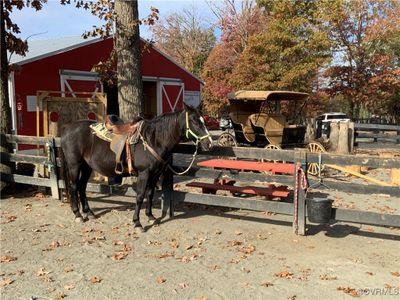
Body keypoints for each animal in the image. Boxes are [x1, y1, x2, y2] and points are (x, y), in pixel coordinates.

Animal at [60, 104, 212, 231]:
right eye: (194, 121)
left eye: (204, 121)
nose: (209, 143)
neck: (153, 139)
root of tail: (67, 129)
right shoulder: (144, 174)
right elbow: (140, 196)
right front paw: (137, 223)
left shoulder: (155, 174)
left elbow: (150, 194)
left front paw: (150, 217)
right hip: (74, 165)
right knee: (74, 186)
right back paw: (78, 214)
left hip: (86, 166)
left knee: (82, 187)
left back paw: (89, 213)